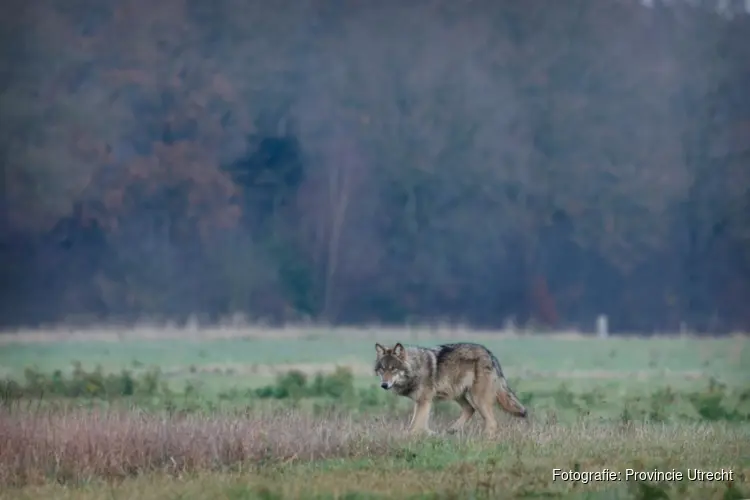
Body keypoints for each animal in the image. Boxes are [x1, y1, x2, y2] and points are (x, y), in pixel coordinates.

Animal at [374, 342, 528, 436]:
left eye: (393, 369)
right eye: (383, 369)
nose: (384, 385)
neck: (415, 367)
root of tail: (489, 354)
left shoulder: (424, 401)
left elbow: (416, 426)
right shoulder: (421, 402)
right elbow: (418, 426)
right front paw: (430, 434)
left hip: (478, 399)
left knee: (492, 423)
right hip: (458, 394)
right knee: (470, 409)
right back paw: (451, 430)